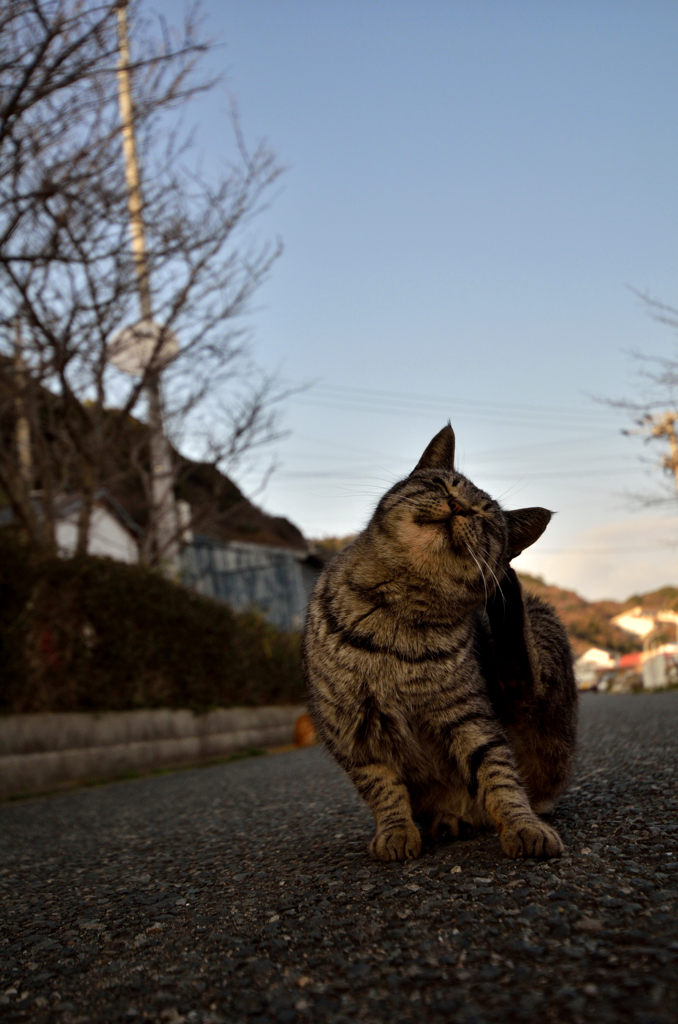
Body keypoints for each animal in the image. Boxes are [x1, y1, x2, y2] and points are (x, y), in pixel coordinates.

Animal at [305, 425, 577, 864]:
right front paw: (396, 831)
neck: (398, 608)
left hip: (542, 639)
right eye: (442, 485)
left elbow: (499, 775)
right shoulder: (351, 731)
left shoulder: (468, 716)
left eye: (484, 516)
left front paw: (522, 826)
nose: (457, 506)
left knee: (524, 686)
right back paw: (448, 822)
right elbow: (382, 788)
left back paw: (506, 588)